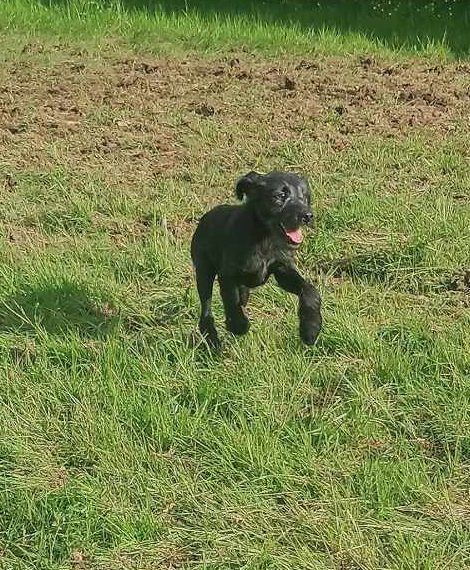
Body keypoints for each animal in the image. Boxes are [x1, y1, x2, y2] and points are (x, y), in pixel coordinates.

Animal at [191, 170, 322, 349]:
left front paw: (311, 328)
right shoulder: (228, 274)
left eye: (305, 197)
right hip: (204, 271)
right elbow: (231, 300)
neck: (264, 237)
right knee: (206, 309)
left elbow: (309, 290)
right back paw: (212, 339)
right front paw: (238, 325)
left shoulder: (282, 269)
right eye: (280, 196)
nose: (307, 216)